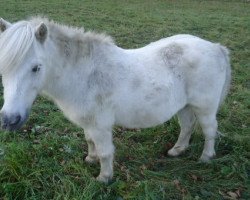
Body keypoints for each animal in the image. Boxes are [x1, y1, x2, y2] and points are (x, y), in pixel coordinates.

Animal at [0, 17, 230, 183]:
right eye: (3, 67)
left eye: (36, 67)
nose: (9, 120)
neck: (83, 74)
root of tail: (216, 47)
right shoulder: (89, 123)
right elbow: (90, 141)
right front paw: (90, 159)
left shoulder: (100, 125)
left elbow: (105, 152)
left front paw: (104, 178)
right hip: (184, 106)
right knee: (187, 126)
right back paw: (177, 150)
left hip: (205, 107)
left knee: (209, 130)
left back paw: (206, 158)